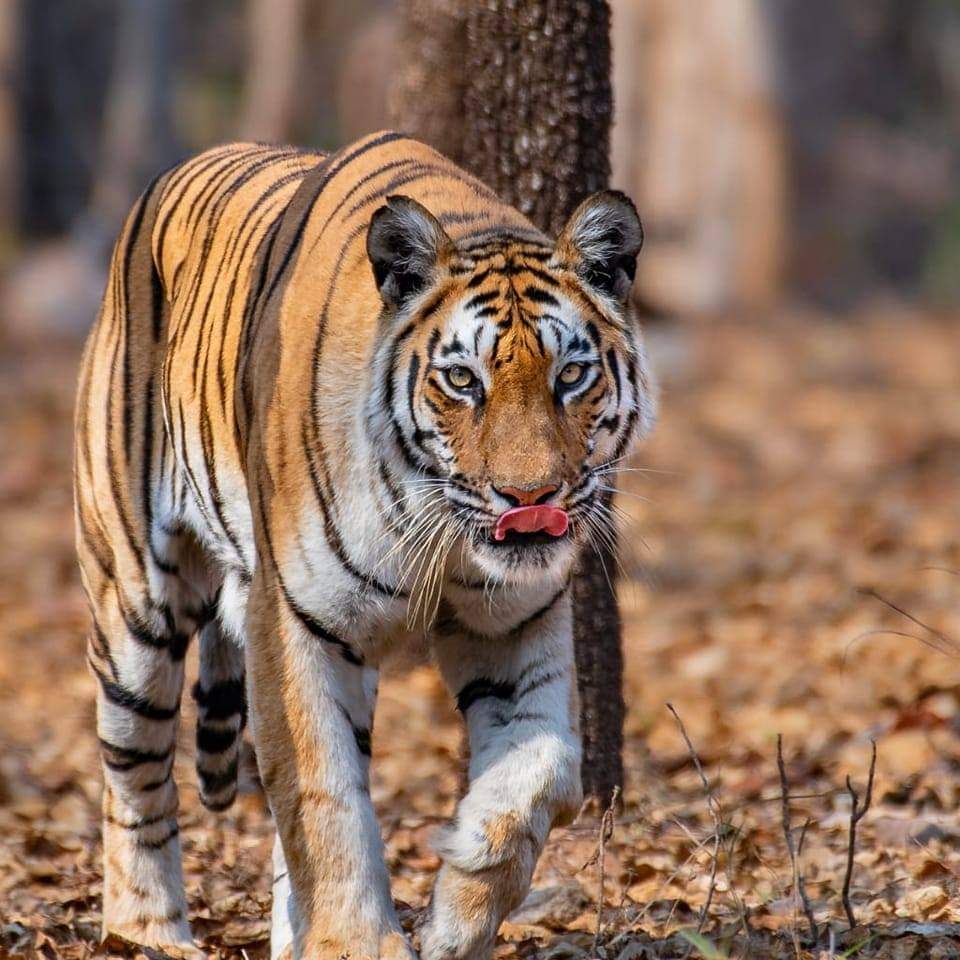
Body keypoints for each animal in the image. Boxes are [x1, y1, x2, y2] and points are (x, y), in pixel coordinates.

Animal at [74, 130, 656, 960]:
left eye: (572, 375)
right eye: (462, 380)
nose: (530, 499)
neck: (436, 525)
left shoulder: (514, 625)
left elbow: (546, 770)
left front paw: (459, 898)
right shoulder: (297, 621)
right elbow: (324, 797)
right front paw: (356, 941)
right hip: (135, 605)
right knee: (134, 776)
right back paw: (147, 933)